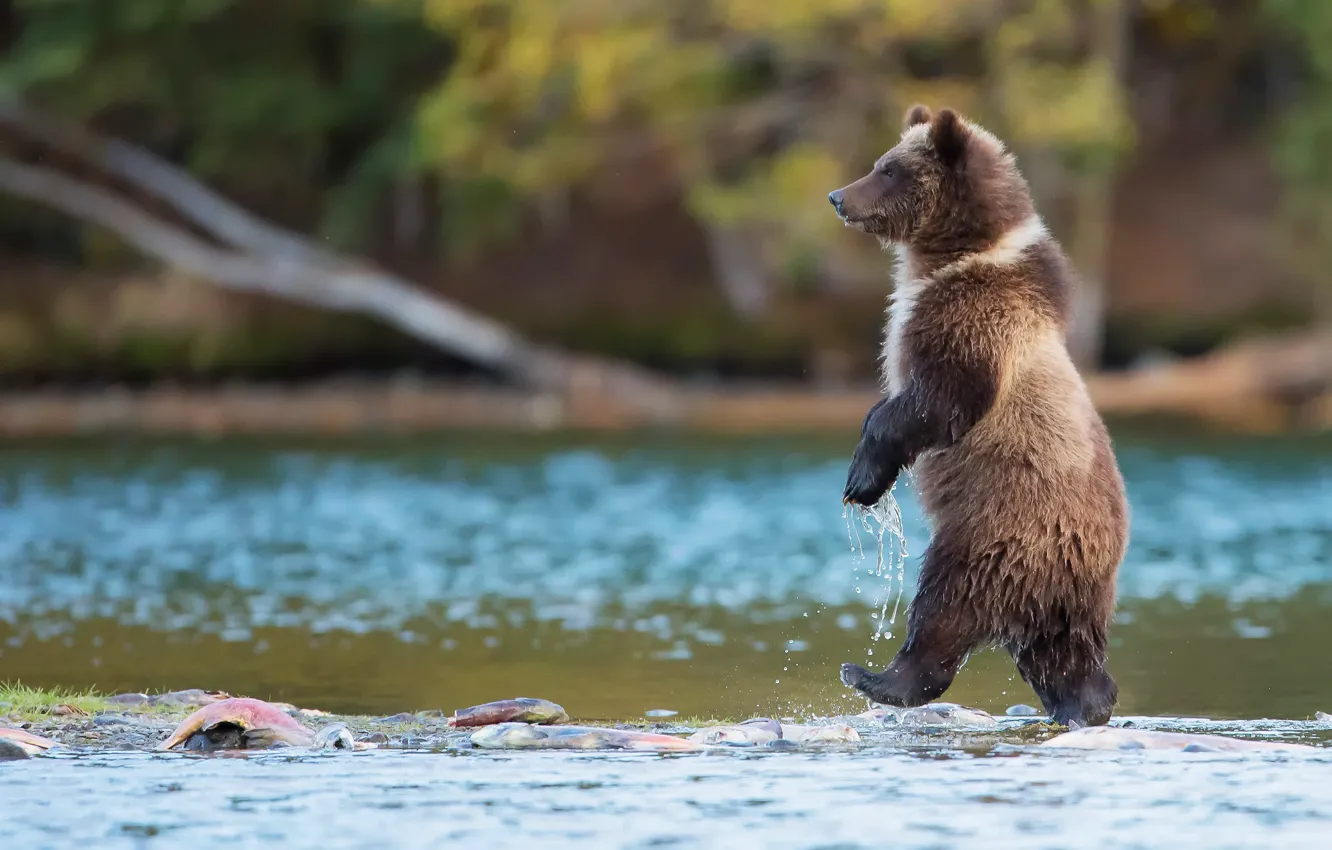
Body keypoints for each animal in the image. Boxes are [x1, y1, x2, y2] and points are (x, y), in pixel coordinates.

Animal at [827, 105, 1130, 728]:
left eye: (887, 169)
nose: (839, 196)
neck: (956, 258)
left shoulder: (975, 322)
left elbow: (936, 401)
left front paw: (862, 479)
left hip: (994, 530)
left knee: (944, 607)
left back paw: (875, 677)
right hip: (1069, 598)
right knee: (1066, 657)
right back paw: (1084, 707)